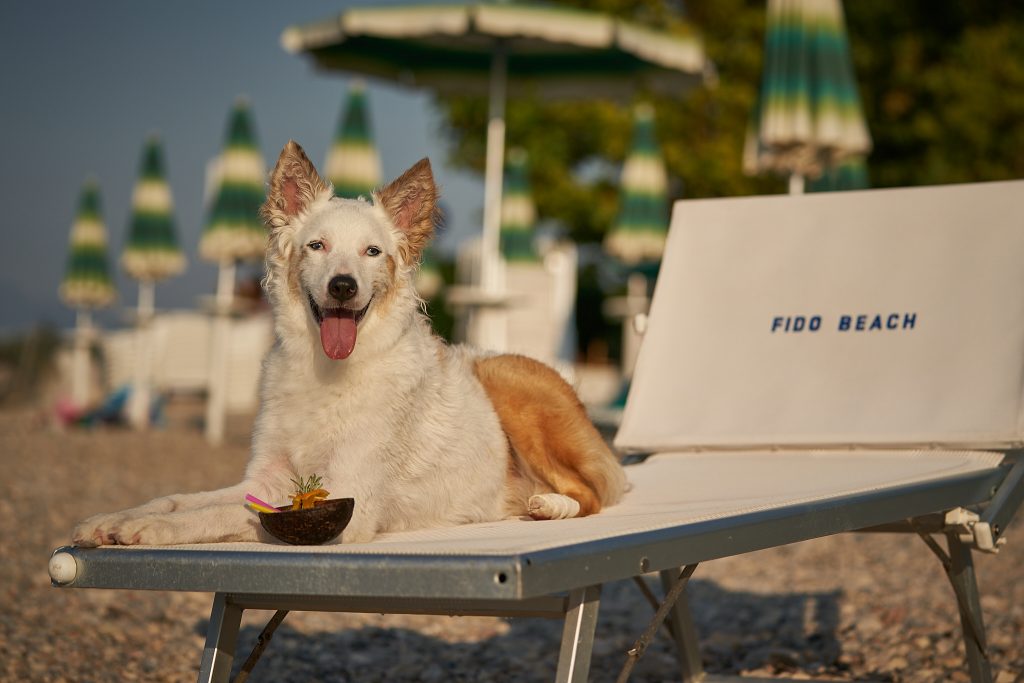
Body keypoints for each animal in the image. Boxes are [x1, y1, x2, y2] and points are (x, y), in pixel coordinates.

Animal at [70, 141, 622, 548]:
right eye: (317, 246)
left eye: (372, 252)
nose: (342, 286)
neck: (329, 369)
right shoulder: (264, 481)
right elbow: (185, 498)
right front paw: (115, 518)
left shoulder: (347, 502)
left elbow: (217, 515)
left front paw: (150, 529)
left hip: (507, 381)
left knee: (593, 492)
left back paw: (549, 505)